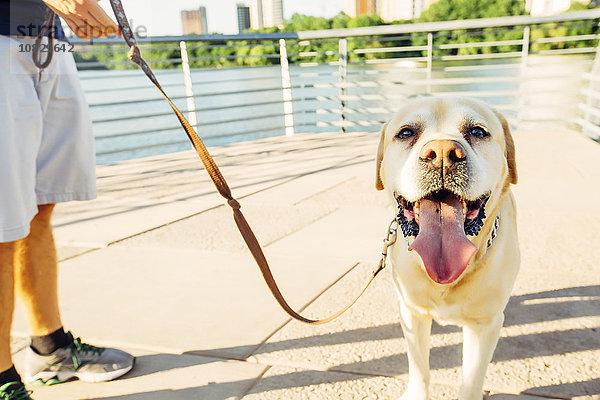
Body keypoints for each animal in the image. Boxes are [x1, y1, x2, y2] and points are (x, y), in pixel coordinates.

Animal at [378, 97, 516, 400]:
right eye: (406, 133)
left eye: (477, 131)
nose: (442, 153)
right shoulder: (411, 313)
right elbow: (419, 367)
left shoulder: (484, 325)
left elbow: (472, 379)